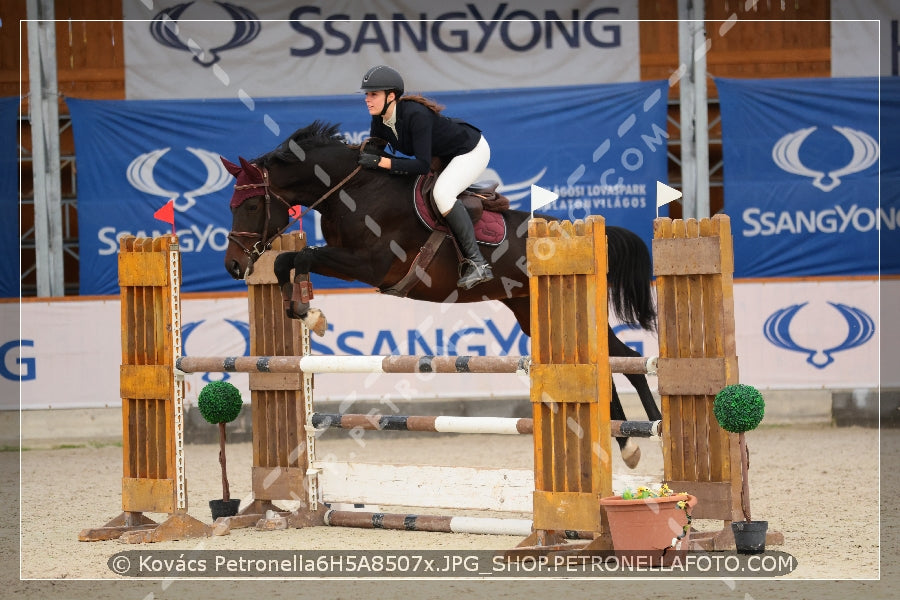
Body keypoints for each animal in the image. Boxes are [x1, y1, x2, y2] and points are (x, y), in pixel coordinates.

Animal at [222, 120, 664, 468]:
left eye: (249, 207)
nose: (233, 266)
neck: (355, 190)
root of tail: (578, 233)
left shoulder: (371, 265)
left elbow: (299, 256)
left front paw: (311, 314)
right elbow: (289, 260)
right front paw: (304, 311)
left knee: (626, 360)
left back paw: (650, 432)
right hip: (531, 312)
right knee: (609, 363)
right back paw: (626, 443)